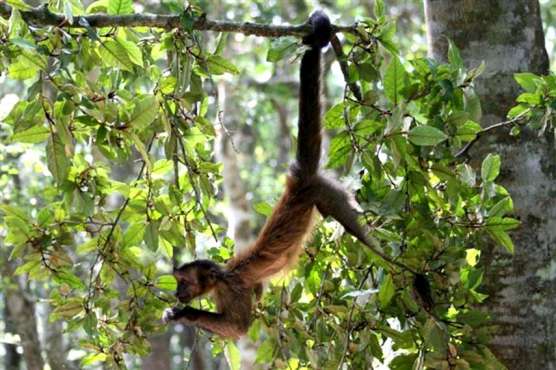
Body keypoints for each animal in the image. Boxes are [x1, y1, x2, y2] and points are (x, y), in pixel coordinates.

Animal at [163, 10, 424, 338]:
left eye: (184, 283)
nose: (177, 293)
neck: (222, 274)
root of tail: (299, 179)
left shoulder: (231, 289)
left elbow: (238, 328)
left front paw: (183, 314)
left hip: (327, 196)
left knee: (366, 240)